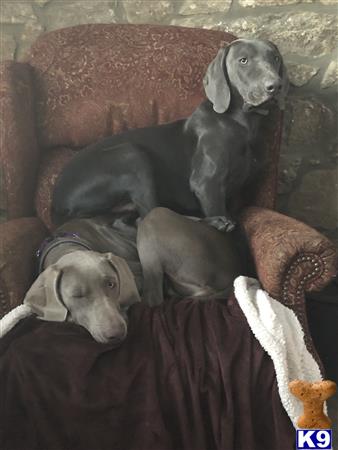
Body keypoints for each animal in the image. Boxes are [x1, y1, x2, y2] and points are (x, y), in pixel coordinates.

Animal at [52, 37, 288, 232]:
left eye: (275, 58)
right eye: (243, 60)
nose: (275, 86)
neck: (242, 124)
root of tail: (56, 204)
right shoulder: (207, 184)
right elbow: (214, 205)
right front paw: (220, 220)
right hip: (131, 157)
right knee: (151, 214)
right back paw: (216, 222)